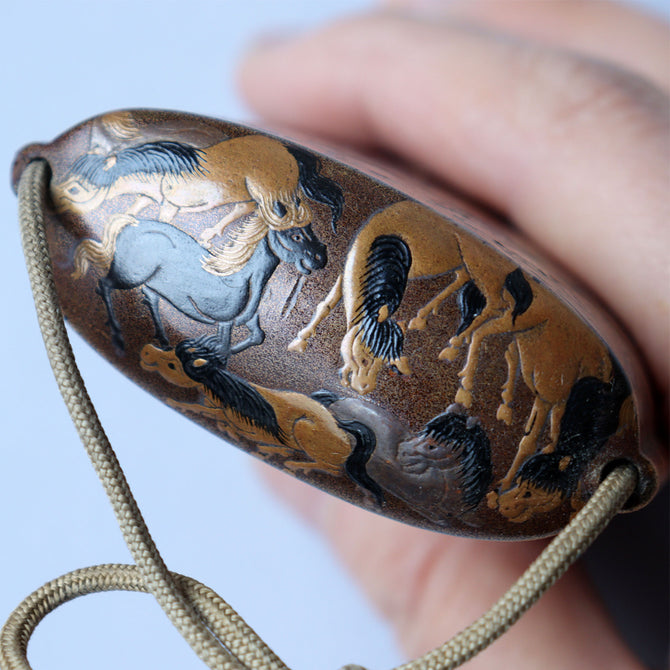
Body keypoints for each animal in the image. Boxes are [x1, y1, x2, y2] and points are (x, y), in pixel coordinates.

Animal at [53, 134, 344, 243]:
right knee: (245, 208)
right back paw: (209, 233)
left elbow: (162, 222)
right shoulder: (148, 196)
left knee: (293, 213)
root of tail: (288, 151)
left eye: (76, 189)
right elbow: (133, 208)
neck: (164, 171)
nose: (57, 202)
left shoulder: (170, 204)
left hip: (269, 190)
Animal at [73, 214, 327, 354]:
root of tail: (133, 223)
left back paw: (163, 340)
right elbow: (223, 348)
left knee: (151, 300)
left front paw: (206, 347)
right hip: (129, 275)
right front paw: (208, 350)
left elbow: (256, 336)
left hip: (151, 283)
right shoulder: (225, 321)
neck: (242, 279)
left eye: (310, 230)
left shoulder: (250, 320)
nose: (320, 258)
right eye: (296, 236)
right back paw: (117, 334)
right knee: (104, 285)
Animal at [140, 339, 383, 504]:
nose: (146, 351)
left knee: (331, 468)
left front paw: (179, 403)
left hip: (304, 428)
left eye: (172, 365)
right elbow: (212, 414)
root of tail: (340, 427)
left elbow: (209, 413)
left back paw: (293, 464)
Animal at [288, 200, 518, 395]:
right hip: (466, 265)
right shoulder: (347, 272)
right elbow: (328, 304)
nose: (364, 389)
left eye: (385, 364)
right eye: (364, 359)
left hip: (485, 271)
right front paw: (301, 340)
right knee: (464, 280)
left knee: (497, 305)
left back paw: (456, 352)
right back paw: (423, 319)